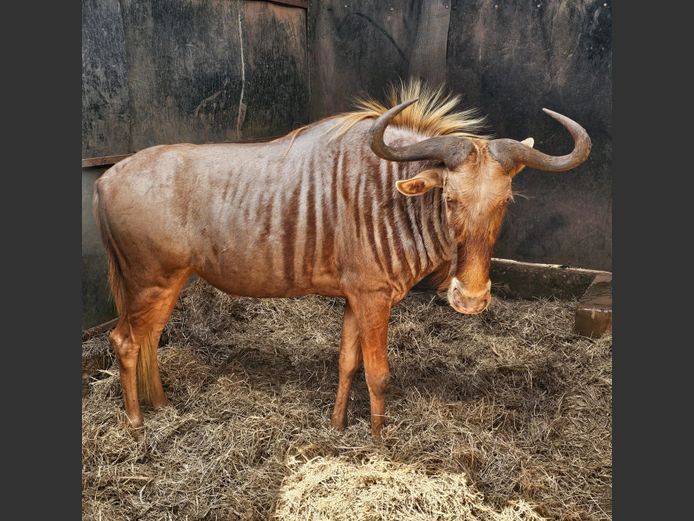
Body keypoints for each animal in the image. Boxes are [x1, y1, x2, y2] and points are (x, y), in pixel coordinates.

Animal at [93, 81, 590, 436]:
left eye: (505, 200)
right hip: (148, 282)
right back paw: (136, 422)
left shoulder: (356, 300)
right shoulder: (374, 300)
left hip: (169, 283)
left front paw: (337, 426)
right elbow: (379, 374)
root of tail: (106, 178)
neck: (388, 195)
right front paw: (379, 444)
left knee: (149, 338)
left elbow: (348, 363)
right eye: (449, 197)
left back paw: (161, 405)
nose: (470, 300)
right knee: (125, 341)